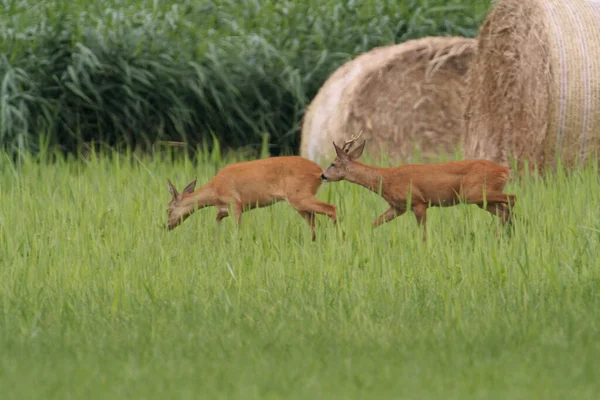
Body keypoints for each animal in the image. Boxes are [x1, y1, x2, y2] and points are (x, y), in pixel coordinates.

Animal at [166, 155, 338, 241]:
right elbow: (217, 224)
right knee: (316, 223)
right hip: (299, 202)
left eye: (168, 209)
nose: (167, 226)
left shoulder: (235, 203)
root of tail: (319, 172)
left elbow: (238, 231)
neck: (214, 190)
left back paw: (339, 239)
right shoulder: (223, 210)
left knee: (331, 208)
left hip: (299, 195)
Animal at [322, 133, 516, 242]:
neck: (386, 180)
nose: (322, 176)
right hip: (481, 200)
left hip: (474, 193)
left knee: (512, 199)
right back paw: (503, 235)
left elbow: (422, 234)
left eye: (332, 164)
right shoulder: (398, 207)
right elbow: (373, 223)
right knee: (504, 210)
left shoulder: (418, 202)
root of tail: (505, 170)